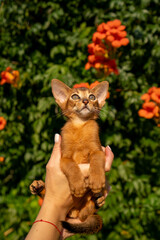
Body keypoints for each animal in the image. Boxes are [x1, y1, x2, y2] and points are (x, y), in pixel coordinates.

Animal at [29, 79, 109, 234]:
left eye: (92, 97)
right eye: (75, 96)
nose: (85, 101)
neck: (79, 126)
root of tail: (73, 212)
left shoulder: (97, 150)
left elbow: (96, 160)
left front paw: (96, 180)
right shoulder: (64, 157)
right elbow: (72, 166)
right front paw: (78, 185)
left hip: (84, 211)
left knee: (85, 215)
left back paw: (97, 201)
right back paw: (38, 187)